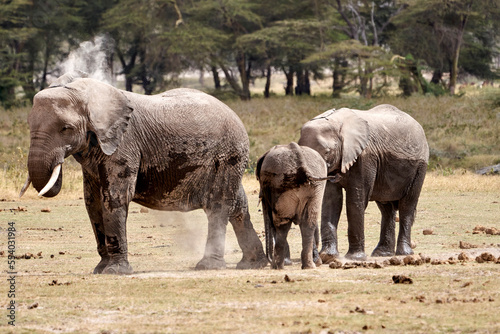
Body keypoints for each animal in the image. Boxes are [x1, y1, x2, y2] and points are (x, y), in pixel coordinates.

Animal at [21, 72, 268, 274]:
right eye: (28, 124)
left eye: (66, 128)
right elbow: (92, 202)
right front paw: (99, 270)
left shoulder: (125, 144)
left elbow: (115, 198)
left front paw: (115, 272)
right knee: (238, 205)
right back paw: (253, 264)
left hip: (227, 155)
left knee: (218, 204)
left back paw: (208, 266)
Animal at [296, 105, 430, 262]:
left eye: (327, 152)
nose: (315, 258)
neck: (338, 123)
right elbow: (331, 200)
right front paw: (328, 256)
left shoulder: (365, 157)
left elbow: (355, 200)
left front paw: (354, 258)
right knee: (386, 208)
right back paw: (382, 253)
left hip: (420, 168)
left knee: (407, 206)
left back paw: (403, 253)